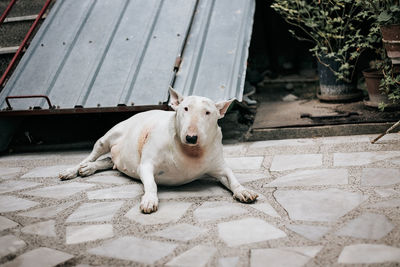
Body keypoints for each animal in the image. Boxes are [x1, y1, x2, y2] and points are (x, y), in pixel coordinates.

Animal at [59, 89, 260, 215]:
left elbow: (232, 178)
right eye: (185, 108)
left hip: (116, 157)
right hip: (108, 138)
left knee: (108, 160)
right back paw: (74, 170)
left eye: (208, 112)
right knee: (91, 155)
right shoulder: (147, 165)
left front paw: (243, 191)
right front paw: (149, 200)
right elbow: (151, 184)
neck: (191, 152)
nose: (191, 137)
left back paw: (90, 169)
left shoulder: (219, 166)